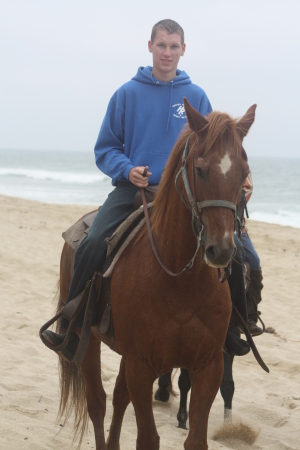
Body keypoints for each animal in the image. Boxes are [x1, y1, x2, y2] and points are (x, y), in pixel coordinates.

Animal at [53, 99, 253, 450]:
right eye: (200, 170)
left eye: (243, 173)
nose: (221, 250)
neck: (181, 283)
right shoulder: (141, 365)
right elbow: (147, 437)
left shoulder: (208, 366)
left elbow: (195, 439)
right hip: (85, 339)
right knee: (98, 402)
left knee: (119, 398)